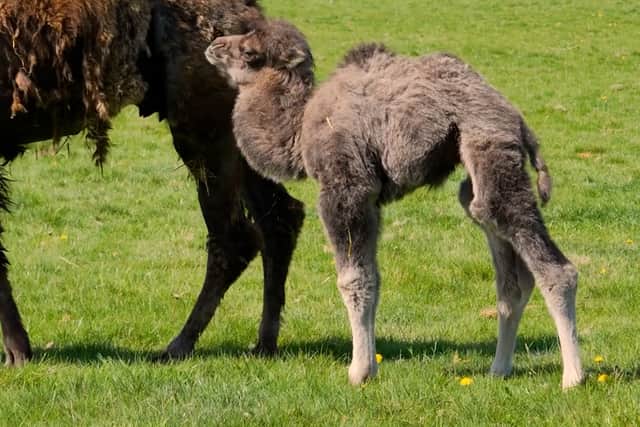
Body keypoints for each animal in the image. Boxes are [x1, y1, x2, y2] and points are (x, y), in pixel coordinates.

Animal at [205, 19, 583, 388]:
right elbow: (373, 277)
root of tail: (519, 121)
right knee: (502, 257)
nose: (214, 45)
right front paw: (369, 364)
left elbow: (354, 279)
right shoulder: (371, 201)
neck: (300, 128)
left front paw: (359, 372)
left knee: (553, 266)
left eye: (251, 52)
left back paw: (573, 376)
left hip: (489, 146)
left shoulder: (346, 187)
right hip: (476, 174)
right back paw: (499, 368)